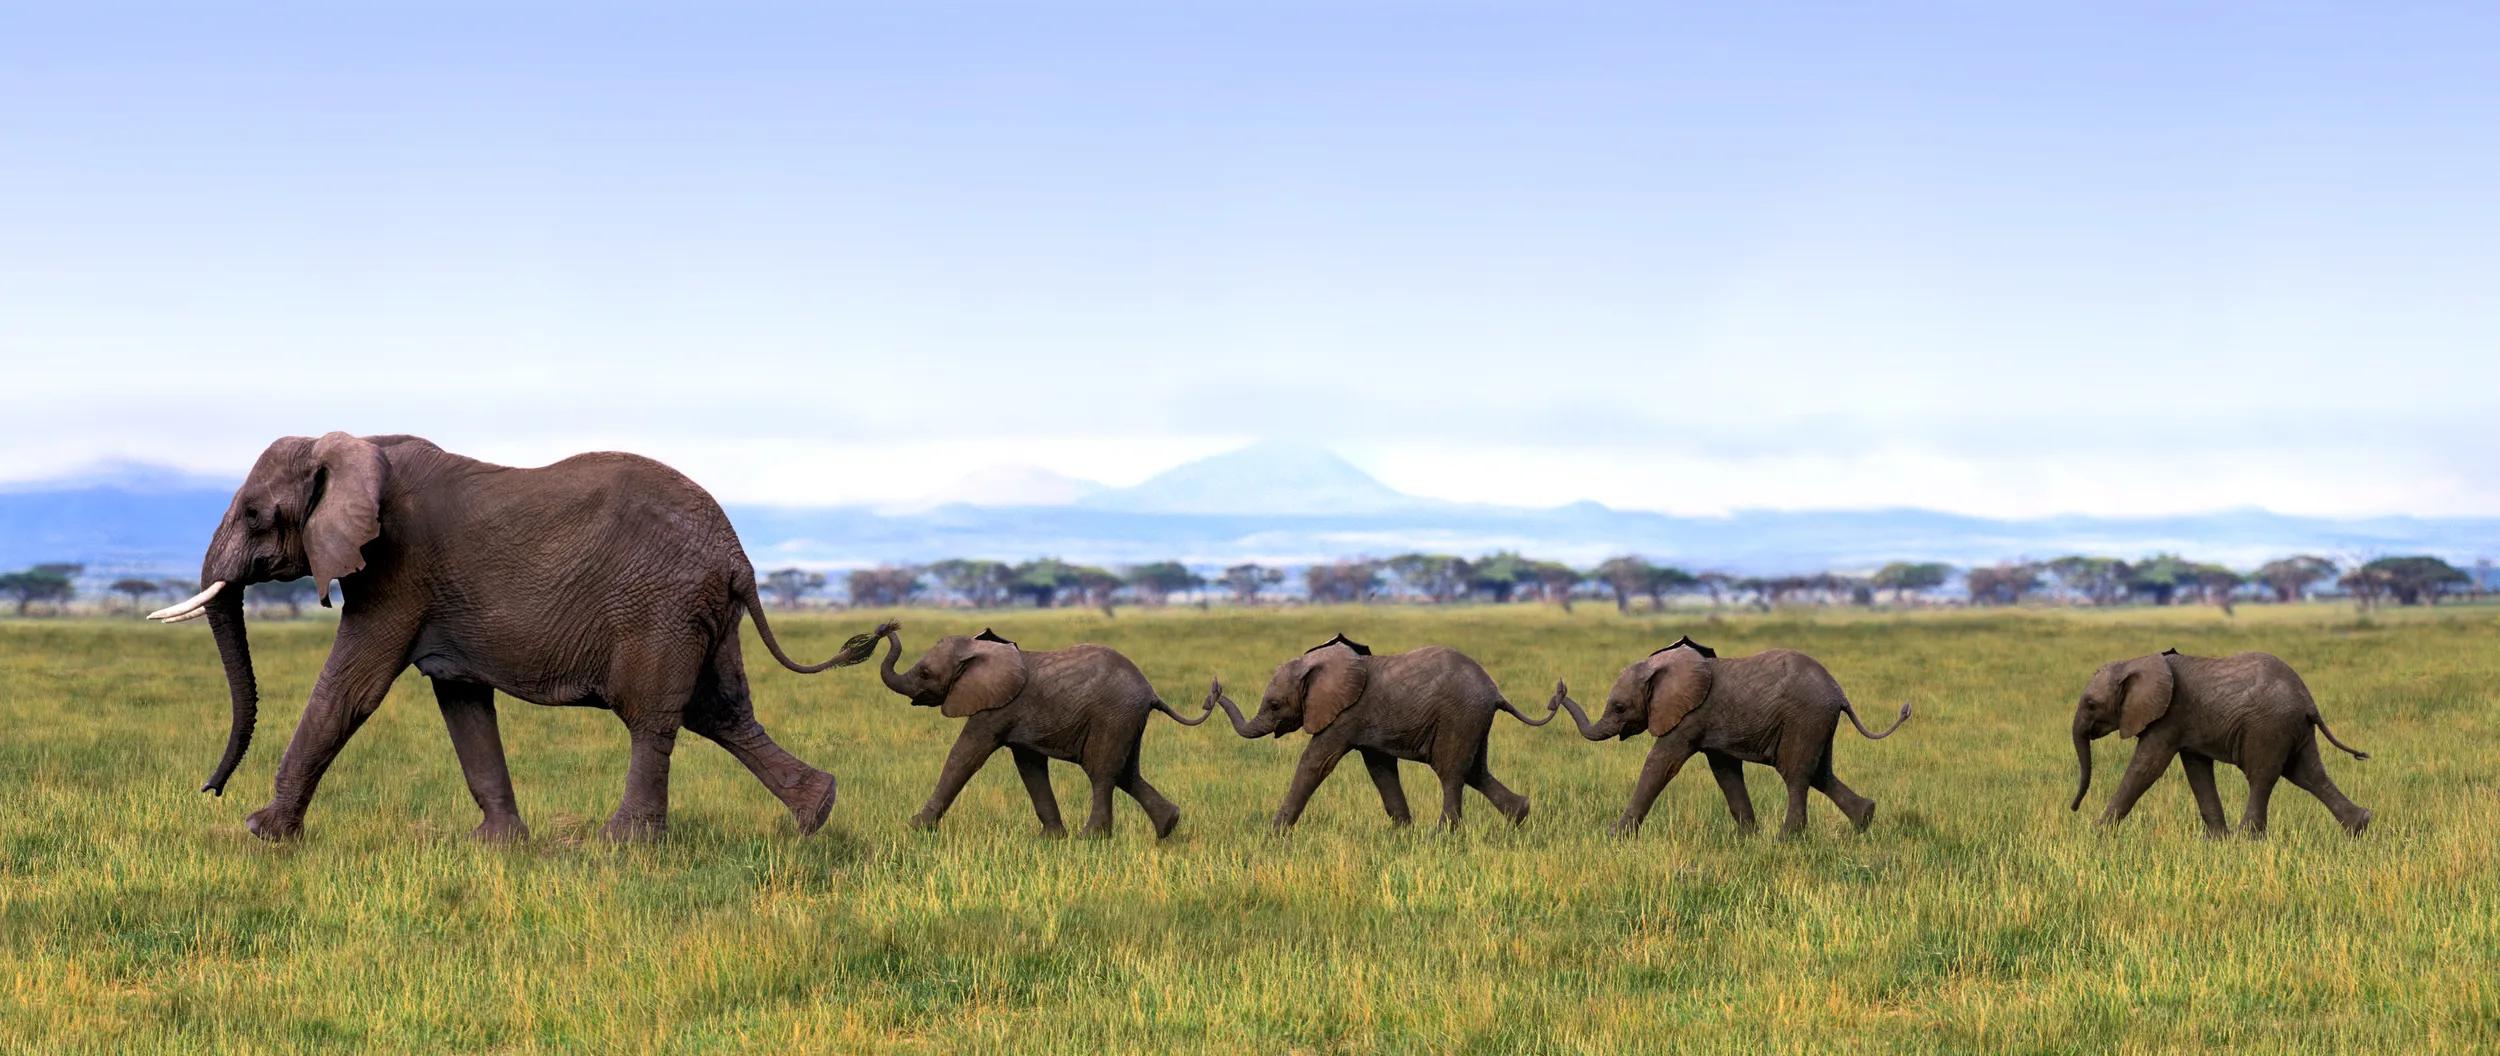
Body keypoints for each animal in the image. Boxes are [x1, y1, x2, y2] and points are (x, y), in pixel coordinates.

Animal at [146, 433, 879, 843]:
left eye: (252, 514)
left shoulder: (396, 570)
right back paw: (816, 814)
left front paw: (262, 834)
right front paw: (495, 845)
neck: (352, 444)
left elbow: (349, 689)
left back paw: (621, 847)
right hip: (703, 615)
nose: (209, 792)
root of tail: (739, 557)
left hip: (660, 609)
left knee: (652, 717)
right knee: (720, 712)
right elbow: (461, 701)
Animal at [870, 623, 1208, 838]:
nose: (885, 629)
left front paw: (915, 827)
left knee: (1102, 771)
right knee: (1127, 773)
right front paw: (1051, 839)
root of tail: (1151, 692)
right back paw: (1168, 826)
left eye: (925, 673)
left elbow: (965, 755)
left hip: (1113, 716)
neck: (979, 649)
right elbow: (1029, 766)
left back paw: (1091, 838)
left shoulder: (998, 708)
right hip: (1127, 720)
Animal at [1205, 633, 1553, 831]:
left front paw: (1274, 833)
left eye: (1275, 705)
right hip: (1473, 721)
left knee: (1452, 772)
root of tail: (1495, 692)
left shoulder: (1347, 714)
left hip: (1460, 716)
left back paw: (1444, 836)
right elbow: (1380, 768)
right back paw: (1520, 816)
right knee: (1475, 771)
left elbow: (1316, 763)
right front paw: (1402, 834)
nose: (1213, 693)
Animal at [1551, 636, 1909, 837]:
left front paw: (1614, 836)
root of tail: (1839, 693)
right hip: (1818, 722)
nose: (1558, 692)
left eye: (1620, 707)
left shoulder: (1691, 717)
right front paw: (1747, 838)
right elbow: (1725, 771)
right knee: (1821, 773)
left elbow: (1660, 763)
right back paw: (1865, 818)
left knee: (1796, 774)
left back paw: (1787, 839)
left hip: (1804, 718)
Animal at [2069, 648, 2373, 837]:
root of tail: (2308, 701)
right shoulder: (2186, 723)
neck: (2138, 661)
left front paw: (2097, 834)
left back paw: (2245, 838)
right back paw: (2360, 826)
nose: (2073, 808)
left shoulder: (2169, 716)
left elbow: (2146, 768)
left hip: (2268, 727)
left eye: (2091, 704)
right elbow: (2197, 770)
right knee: (2308, 774)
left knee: (2262, 776)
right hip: (2294, 729)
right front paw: (2217, 840)